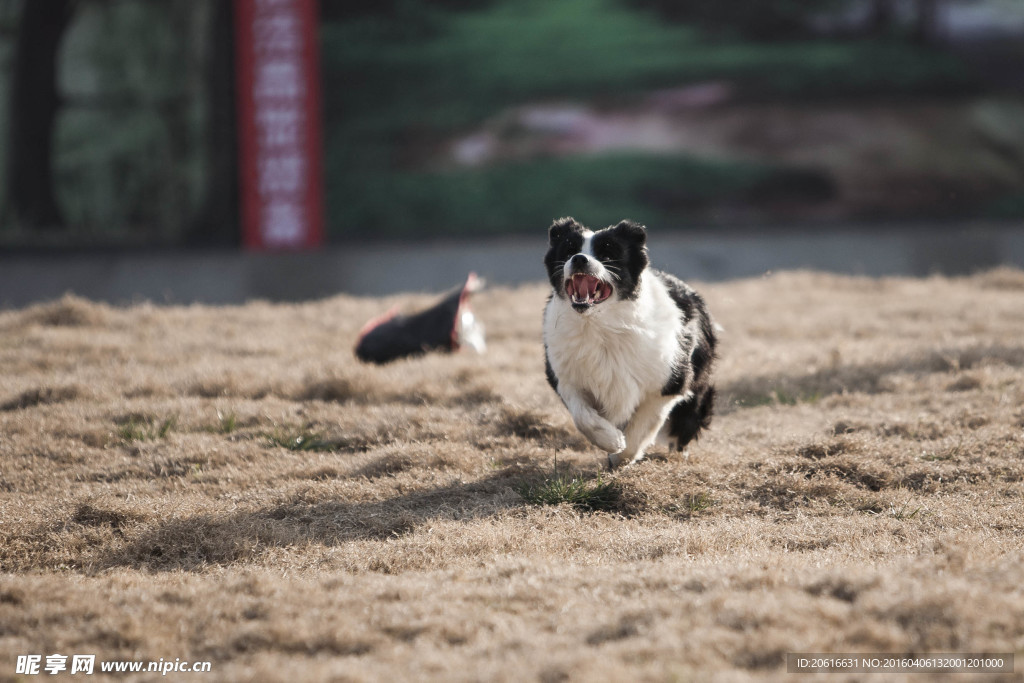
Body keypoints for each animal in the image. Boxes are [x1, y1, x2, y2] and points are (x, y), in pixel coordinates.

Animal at [540, 216, 716, 466]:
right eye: (569, 249)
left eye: (607, 253)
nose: (579, 259)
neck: (599, 325)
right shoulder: (566, 377)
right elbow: (583, 417)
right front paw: (611, 441)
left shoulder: (667, 383)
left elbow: (642, 426)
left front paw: (622, 455)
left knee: (685, 424)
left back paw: (678, 454)